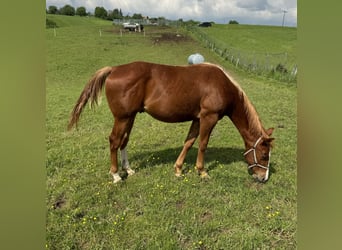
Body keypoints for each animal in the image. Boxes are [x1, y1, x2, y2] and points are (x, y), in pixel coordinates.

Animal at [68, 62, 274, 184]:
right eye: (264, 155)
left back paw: (128, 169)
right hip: (123, 118)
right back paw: (116, 174)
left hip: (130, 117)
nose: (263, 178)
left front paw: (178, 169)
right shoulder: (209, 117)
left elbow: (189, 142)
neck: (223, 86)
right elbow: (203, 144)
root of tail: (114, 69)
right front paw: (202, 171)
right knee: (114, 141)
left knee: (123, 141)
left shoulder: (197, 118)